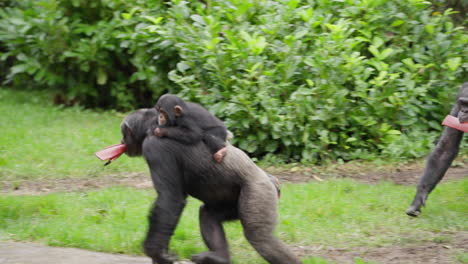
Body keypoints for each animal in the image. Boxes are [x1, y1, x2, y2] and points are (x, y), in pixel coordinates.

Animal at [120, 108, 300, 264]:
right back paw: (219, 257)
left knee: (260, 238)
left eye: (124, 133)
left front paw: (156, 252)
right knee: (208, 215)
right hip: (234, 205)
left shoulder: (155, 148)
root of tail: (272, 182)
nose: (121, 141)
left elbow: (169, 200)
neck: (151, 126)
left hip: (260, 191)